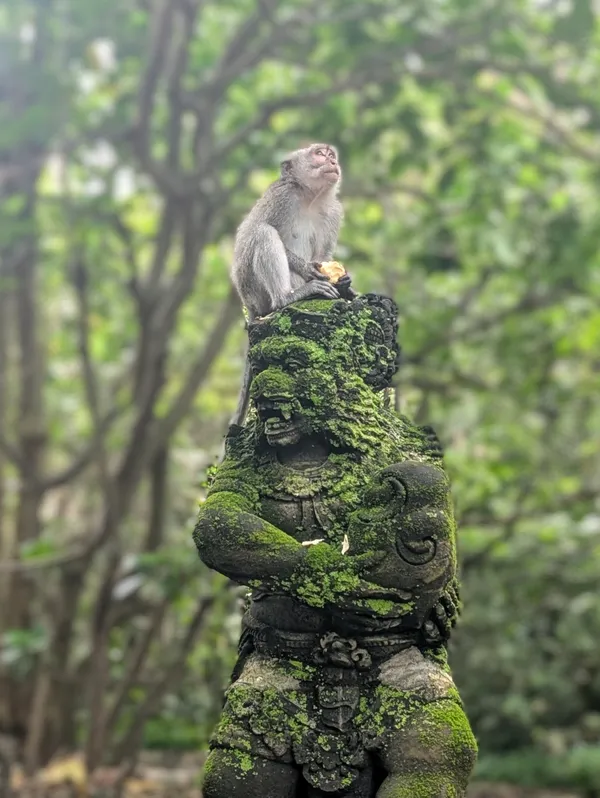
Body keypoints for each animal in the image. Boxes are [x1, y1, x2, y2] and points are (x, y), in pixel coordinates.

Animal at [229, 142, 356, 428]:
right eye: (319, 153)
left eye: (331, 154)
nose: (332, 160)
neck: (311, 198)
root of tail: (249, 307)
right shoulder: (282, 197)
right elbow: (259, 230)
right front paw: (309, 269)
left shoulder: (334, 212)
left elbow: (323, 254)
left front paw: (344, 283)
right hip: (255, 291)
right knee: (263, 233)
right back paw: (289, 297)